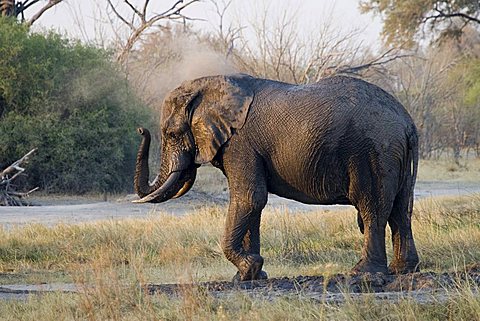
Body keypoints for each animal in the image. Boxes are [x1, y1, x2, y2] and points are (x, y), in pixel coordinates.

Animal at [132, 72, 420, 280]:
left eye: (171, 134)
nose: (140, 129)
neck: (210, 84)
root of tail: (407, 122)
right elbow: (253, 204)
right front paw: (249, 277)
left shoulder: (240, 144)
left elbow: (249, 199)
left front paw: (249, 268)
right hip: (394, 156)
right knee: (400, 208)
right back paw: (402, 270)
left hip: (373, 152)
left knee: (373, 207)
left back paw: (363, 275)